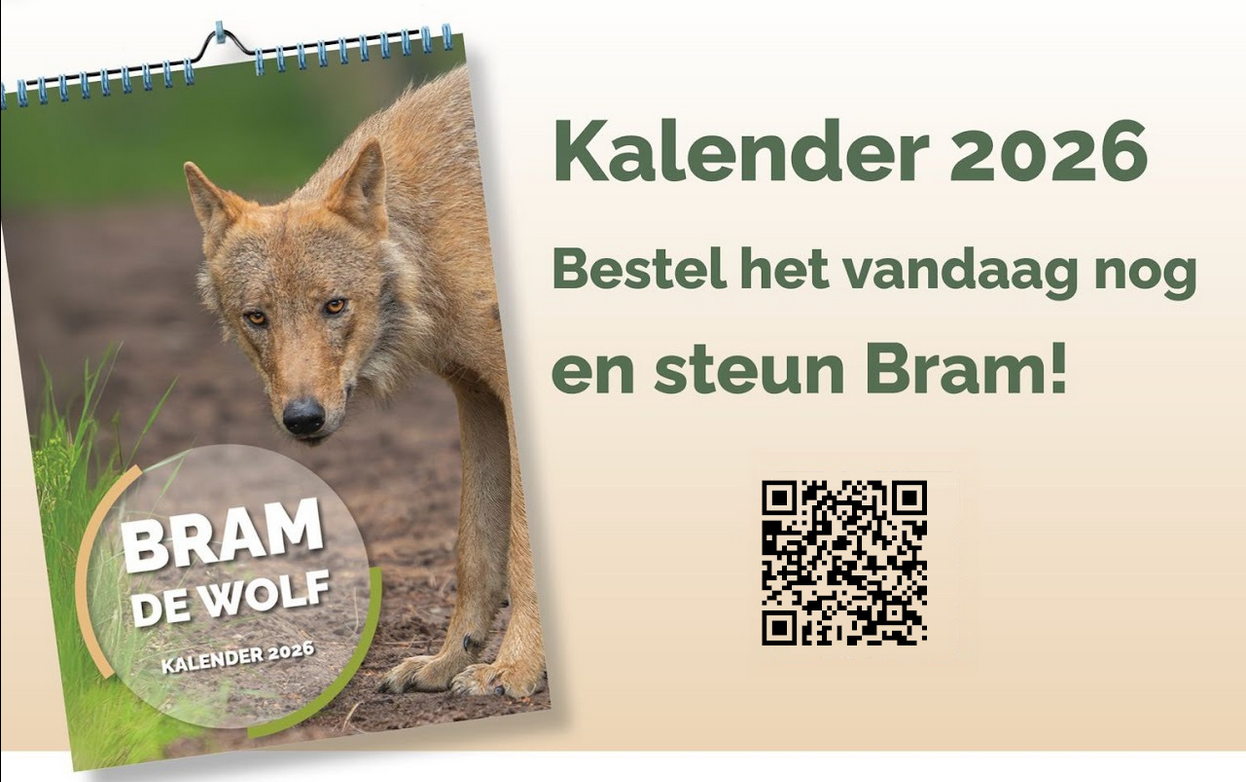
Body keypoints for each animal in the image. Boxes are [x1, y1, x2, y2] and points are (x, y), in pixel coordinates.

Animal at [183, 66, 544, 698]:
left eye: (334, 305)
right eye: (257, 318)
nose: (303, 418)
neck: (427, 235)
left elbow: (521, 551)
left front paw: (515, 670)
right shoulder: (476, 395)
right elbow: (475, 552)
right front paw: (446, 662)